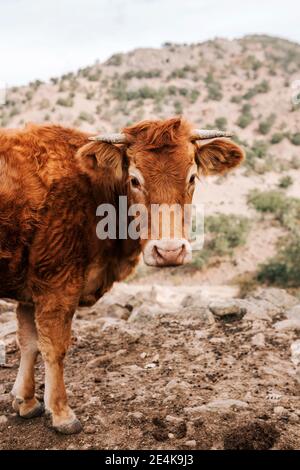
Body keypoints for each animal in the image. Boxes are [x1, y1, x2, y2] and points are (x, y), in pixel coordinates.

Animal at [0, 117, 244, 434]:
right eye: (135, 180)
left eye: (192, 177)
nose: (169, 251)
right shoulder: (57, 283)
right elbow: (54, 347)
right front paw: (62, 413)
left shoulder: (31, 288)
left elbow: (28, 343)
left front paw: (26, 401)